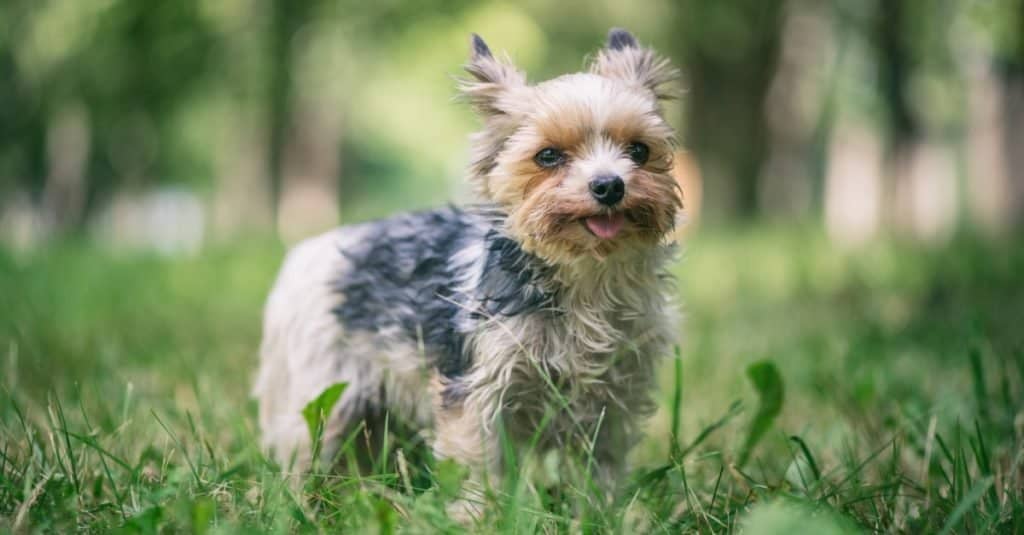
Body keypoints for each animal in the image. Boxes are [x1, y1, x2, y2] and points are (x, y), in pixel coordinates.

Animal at [253, 27, 679, 504]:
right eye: (549, 156)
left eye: (639, 150)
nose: (609, 185)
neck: (585, 275)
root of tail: (308, 250)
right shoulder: (477, 389)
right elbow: (478, 460)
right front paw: (478, 511)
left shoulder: (616, 395)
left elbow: (601, 464)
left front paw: (600, 510)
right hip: (319, 390)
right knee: (304, 445)